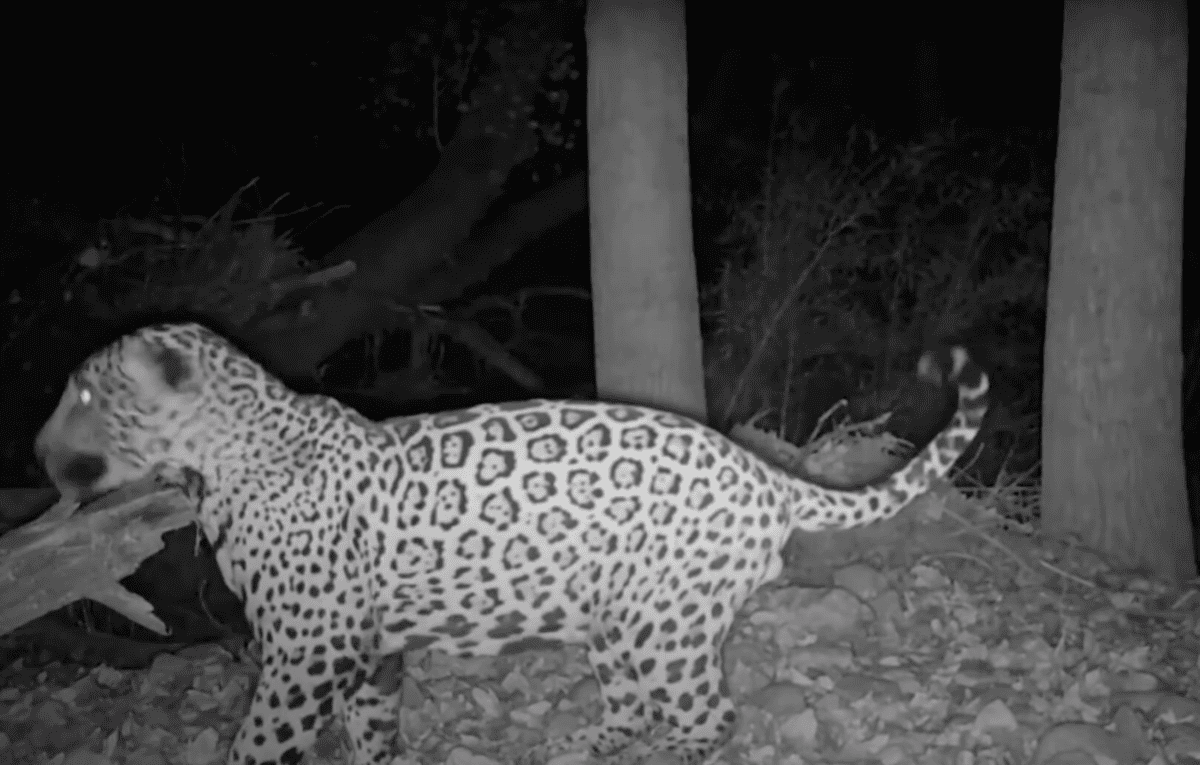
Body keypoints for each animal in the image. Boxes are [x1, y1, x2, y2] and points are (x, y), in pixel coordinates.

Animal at [35, 322, 989, 765]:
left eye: (84, 395)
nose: (38, 451)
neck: (223, 459)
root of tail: (764, 471)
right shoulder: (365, 650)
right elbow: (370, 733)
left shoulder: (309, 650)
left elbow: (262, 742)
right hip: (617, 621)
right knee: (632, 707)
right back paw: (575, 750)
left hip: (667, 626)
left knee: (705, 716)